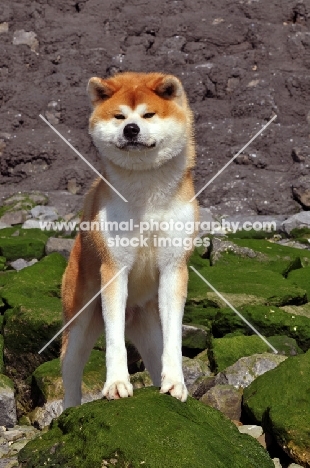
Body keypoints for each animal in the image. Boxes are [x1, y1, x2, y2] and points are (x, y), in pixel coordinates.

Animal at [61, 71, 199, 408]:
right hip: (79, 324)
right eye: (120, 116)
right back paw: (68, 410)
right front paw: (116, 384)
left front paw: (176, 385)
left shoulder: (174, 268)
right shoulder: (114, 269)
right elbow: (114, 341)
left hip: (149, 333)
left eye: (148, 115)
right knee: (70, 377)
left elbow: (174, 338)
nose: (131, 129)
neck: (146, 192)